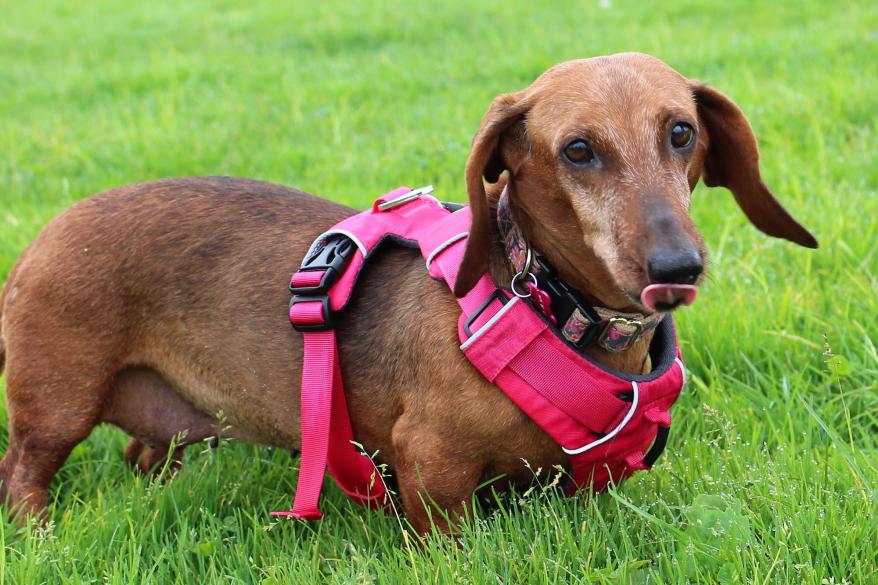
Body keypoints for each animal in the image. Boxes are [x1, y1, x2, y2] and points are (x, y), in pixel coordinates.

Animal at [0, 53, 820, 532]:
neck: (548, 304)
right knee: (23, 474)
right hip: (57, 405)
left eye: (681, 133)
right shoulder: (432, 470)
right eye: (578, 150)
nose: (677, 269)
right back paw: (39, 531)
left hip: (164, 421)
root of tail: (36, 241)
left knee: (142, 454)